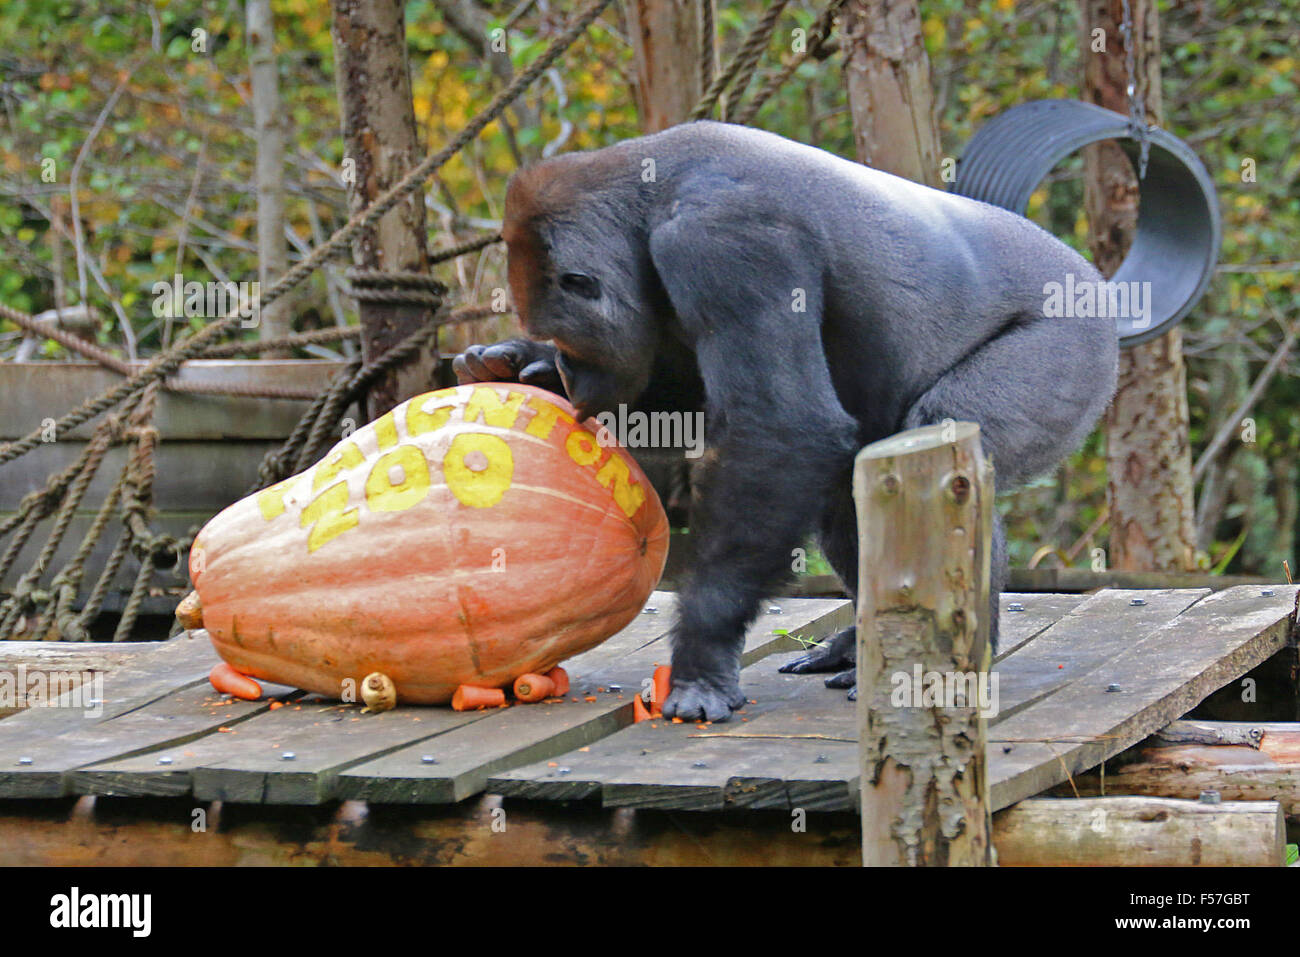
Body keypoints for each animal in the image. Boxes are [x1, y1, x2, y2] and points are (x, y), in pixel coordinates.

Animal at [454, 117, 1118, 717]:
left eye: (571, 342)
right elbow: (684, 404)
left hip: (1072, 342)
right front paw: (519, 365)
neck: (643, 199)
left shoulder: (723, 242)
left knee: (937, 440)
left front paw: (702, 654)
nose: (570, 375)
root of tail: (1100, 286)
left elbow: (780, 428)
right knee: (858, 487)